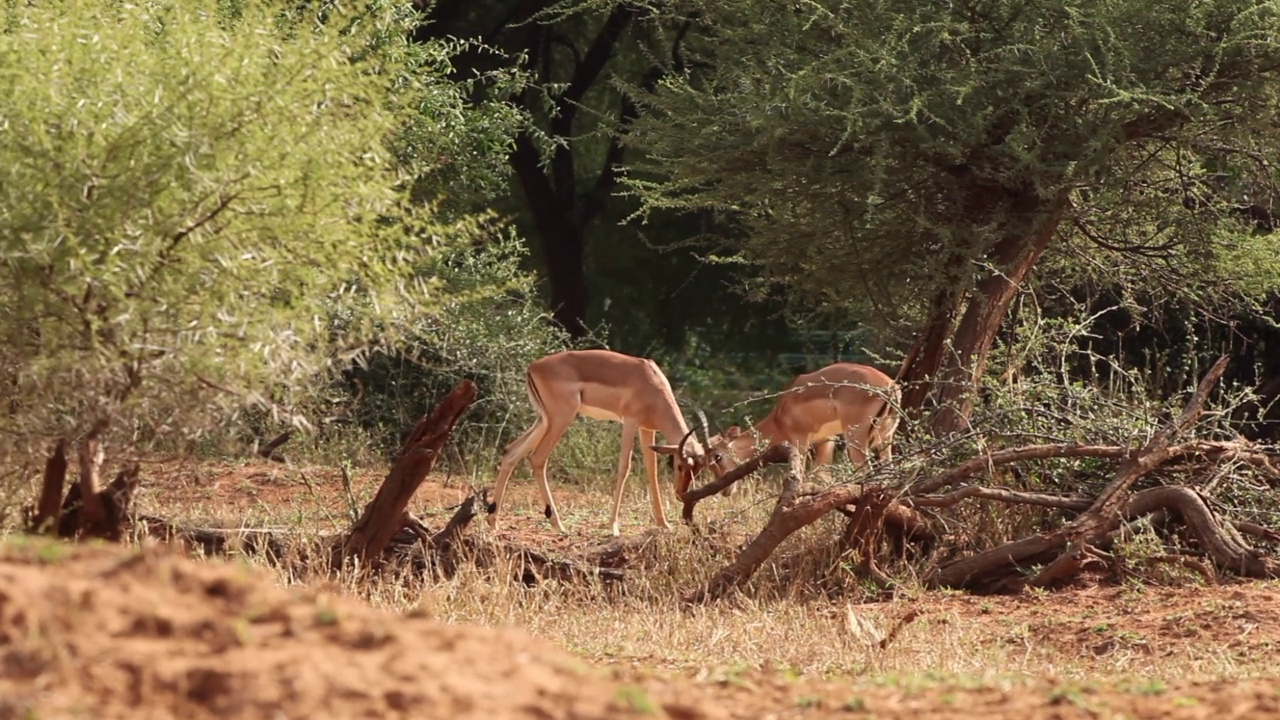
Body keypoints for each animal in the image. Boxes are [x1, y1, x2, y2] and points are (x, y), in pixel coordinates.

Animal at [486, 348, 732, 532]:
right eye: (680, 466)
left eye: (698, 470)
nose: (681, 493)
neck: (651, 382)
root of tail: (533, 367)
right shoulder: (630, 422)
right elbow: (624, 467)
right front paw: (613, 526)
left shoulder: (646, 429)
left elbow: (651, 471)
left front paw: (663, 523)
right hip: (560, 419)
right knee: (537, 459)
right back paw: (558, 524)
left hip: (543, 420)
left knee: (511, 452)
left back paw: (493, 520)